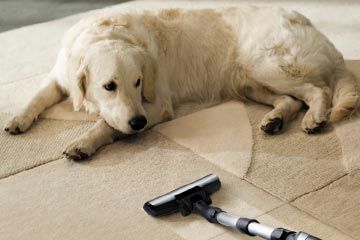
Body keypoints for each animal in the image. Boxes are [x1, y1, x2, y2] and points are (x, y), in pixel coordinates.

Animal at [4, 6, 358, 160]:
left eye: (138, 82)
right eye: (109, 86)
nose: (138, 123)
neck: (103, 33)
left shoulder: (158, 103)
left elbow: (107, 124)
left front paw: (84, 143)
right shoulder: (60, 75)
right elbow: (37, 96)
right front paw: (18, 119)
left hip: (267, 65)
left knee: (318, 90)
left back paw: (315, 118)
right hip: (247, 79)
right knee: (291, 99)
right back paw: (275, 120)